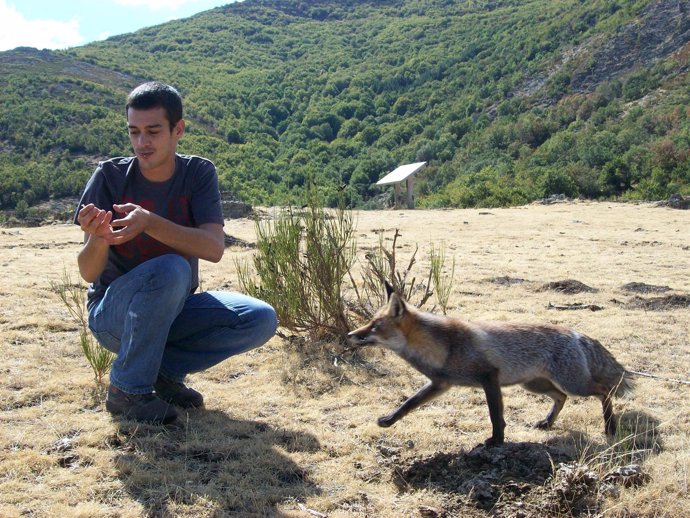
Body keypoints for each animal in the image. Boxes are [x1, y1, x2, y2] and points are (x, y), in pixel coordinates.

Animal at [346, 284, 632, 446]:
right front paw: (389, 420)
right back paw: (547, 423)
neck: (443, 347)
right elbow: (409, 403)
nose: (350, 334)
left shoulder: (489, 378)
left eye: (374, 326)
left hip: (573, 384)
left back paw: (610, 427)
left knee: (603, 391)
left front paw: (496, 442)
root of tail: (576, 333)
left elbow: (496, 416)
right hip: (535, 385)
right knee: (561, 398)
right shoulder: (441, 384)